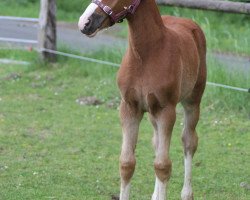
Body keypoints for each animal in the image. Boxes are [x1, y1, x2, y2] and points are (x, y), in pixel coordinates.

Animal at [78, 0, 207, 199]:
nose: (85, 22)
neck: (144, 56)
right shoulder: (129, 108)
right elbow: (127, 163)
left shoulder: (166, 110)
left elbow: (163, 166)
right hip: (152, 112)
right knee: (156, 143)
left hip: (192, 101)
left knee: (189, 141)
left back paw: (186, 194)